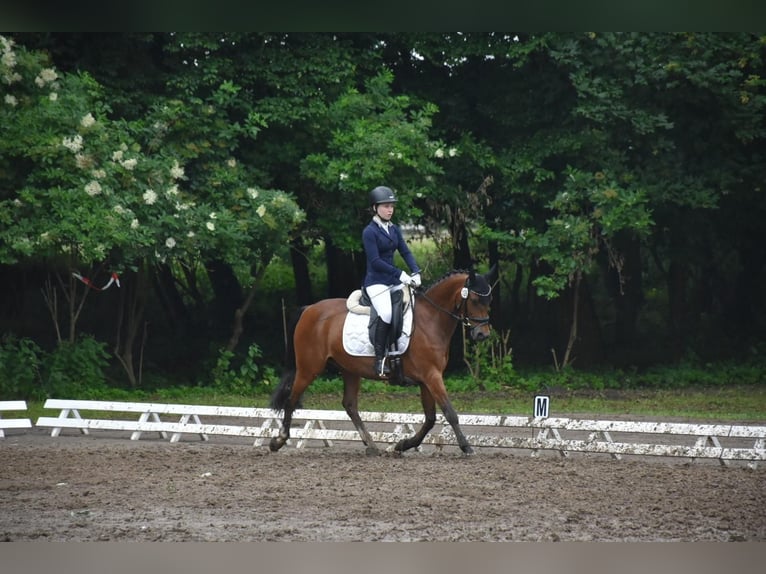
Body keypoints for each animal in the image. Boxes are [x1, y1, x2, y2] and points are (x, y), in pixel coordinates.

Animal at [270, 268, 498, 456]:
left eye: (489, 300)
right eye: (475, 299)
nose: (482, 335)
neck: (431, 318)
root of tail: (309, 309)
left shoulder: (427, 379)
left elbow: (430, 418)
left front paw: (403, 445)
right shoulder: (431, 376)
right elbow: (450, 412)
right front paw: (466, 447)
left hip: (349, 369)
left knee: (349, 405)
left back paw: (371, 445)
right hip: (309, 368)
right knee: (291, 399)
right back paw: (278, 441)